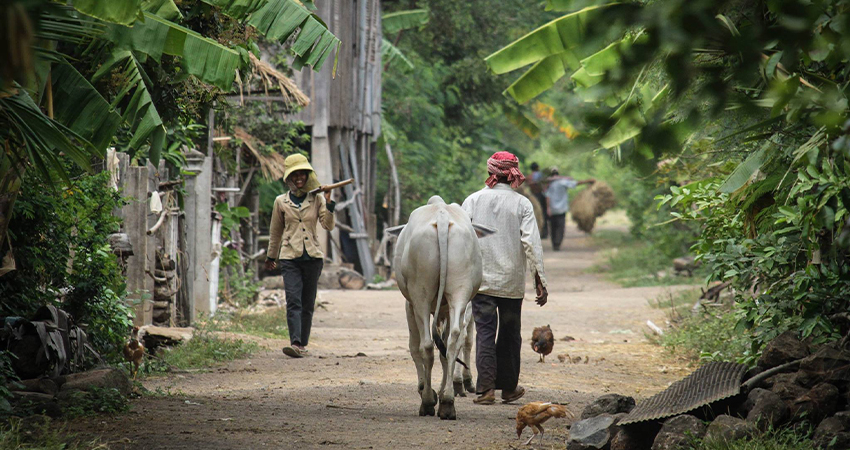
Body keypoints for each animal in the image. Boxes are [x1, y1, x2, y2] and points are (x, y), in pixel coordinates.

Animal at [388, 195, 486, 420]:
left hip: (420, 295)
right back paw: (448, 402)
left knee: (425, 345)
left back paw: (427, 401)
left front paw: (426, 389)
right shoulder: (447, 309)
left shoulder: (410, 305)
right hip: (460, 291)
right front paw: (441, 392)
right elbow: (446, 350)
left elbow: (414, 347)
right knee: (453, 340)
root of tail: (441, 216)